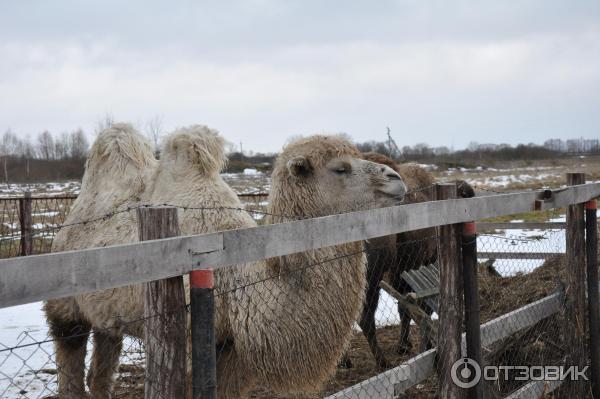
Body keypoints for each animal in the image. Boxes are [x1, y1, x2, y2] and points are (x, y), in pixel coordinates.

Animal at [44, 127, 406, 396]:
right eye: (340, 168)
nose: (396, 178)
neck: (238, 283)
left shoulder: (232, 352)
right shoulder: (188, 341)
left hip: (108, 317)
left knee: (100, 372)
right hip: (66, 310)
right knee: (70, 361)